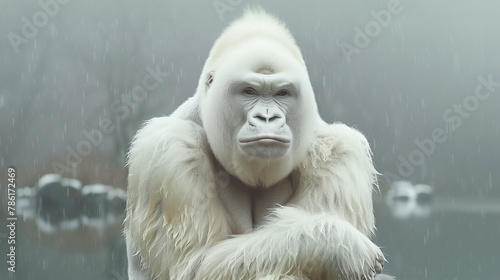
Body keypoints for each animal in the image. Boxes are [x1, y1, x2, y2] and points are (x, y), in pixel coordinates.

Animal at [127, 8, 384, 280]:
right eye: (249, 91)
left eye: (282, 93)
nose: (267, 118)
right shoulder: (169, 146)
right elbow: (194, 265)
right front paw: (337, 242)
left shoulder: (336, 148)